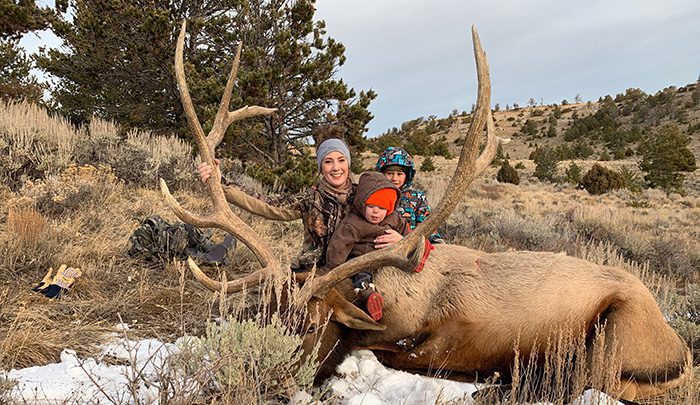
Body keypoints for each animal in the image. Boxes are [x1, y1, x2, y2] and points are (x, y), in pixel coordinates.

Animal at [159, 21, 693, 402]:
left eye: (310, 325)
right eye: (266, 315)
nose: (255, 374)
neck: (386, 295)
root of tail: (681, 352)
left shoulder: (443, 339)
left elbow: (389, 354)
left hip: (613, 335)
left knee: (582, 379)